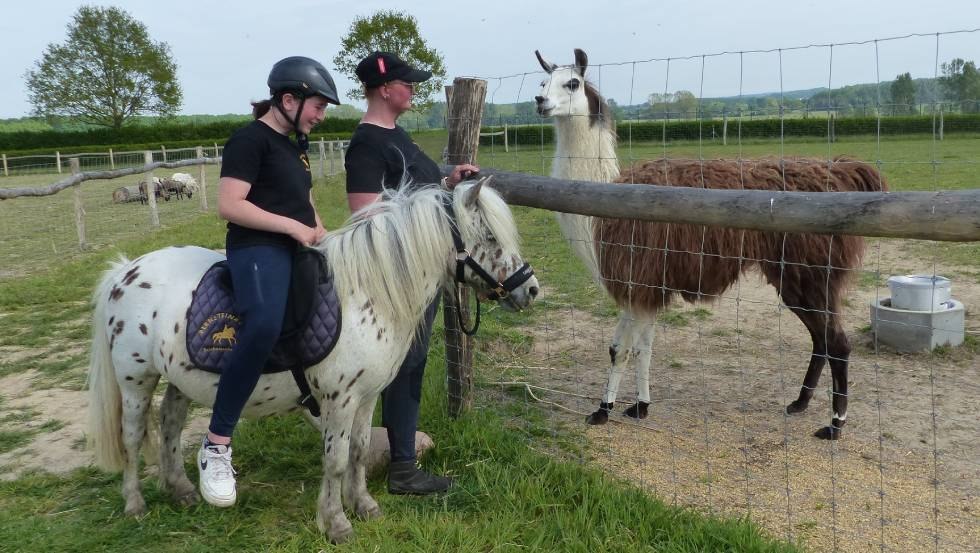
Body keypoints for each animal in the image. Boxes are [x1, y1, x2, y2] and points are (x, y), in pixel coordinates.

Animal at [87, 179, 540, 540]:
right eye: (490, 237)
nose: (531, 289)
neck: (366, 294)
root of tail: (126, 270)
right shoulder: (339, 400)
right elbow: (335, 461)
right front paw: (336, 523)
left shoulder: (366, 396)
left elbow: (359, 451)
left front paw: (365, 505)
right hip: (135, 380)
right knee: (133, 437)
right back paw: (135, 504)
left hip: (182, 377)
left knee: (170, 423)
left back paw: (181, 490)